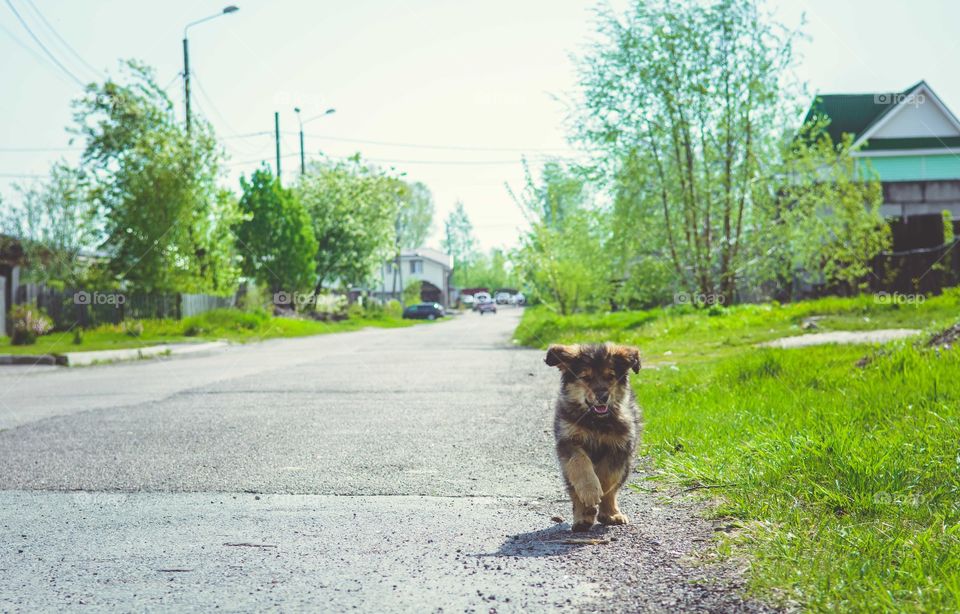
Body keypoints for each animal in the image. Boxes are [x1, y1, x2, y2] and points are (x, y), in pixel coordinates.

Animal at [544, 344, 640, 532]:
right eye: (585, 378)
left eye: (610, 377)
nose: (602, 397)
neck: (596, 421)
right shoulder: (568, 441)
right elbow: (580, 463)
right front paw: (589, 493)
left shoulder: (620, 445)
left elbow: (607, 477)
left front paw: (599, 497)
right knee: (573, 490)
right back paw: (583, 517)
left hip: (626, 466)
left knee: (613, 489)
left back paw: (611, 514)